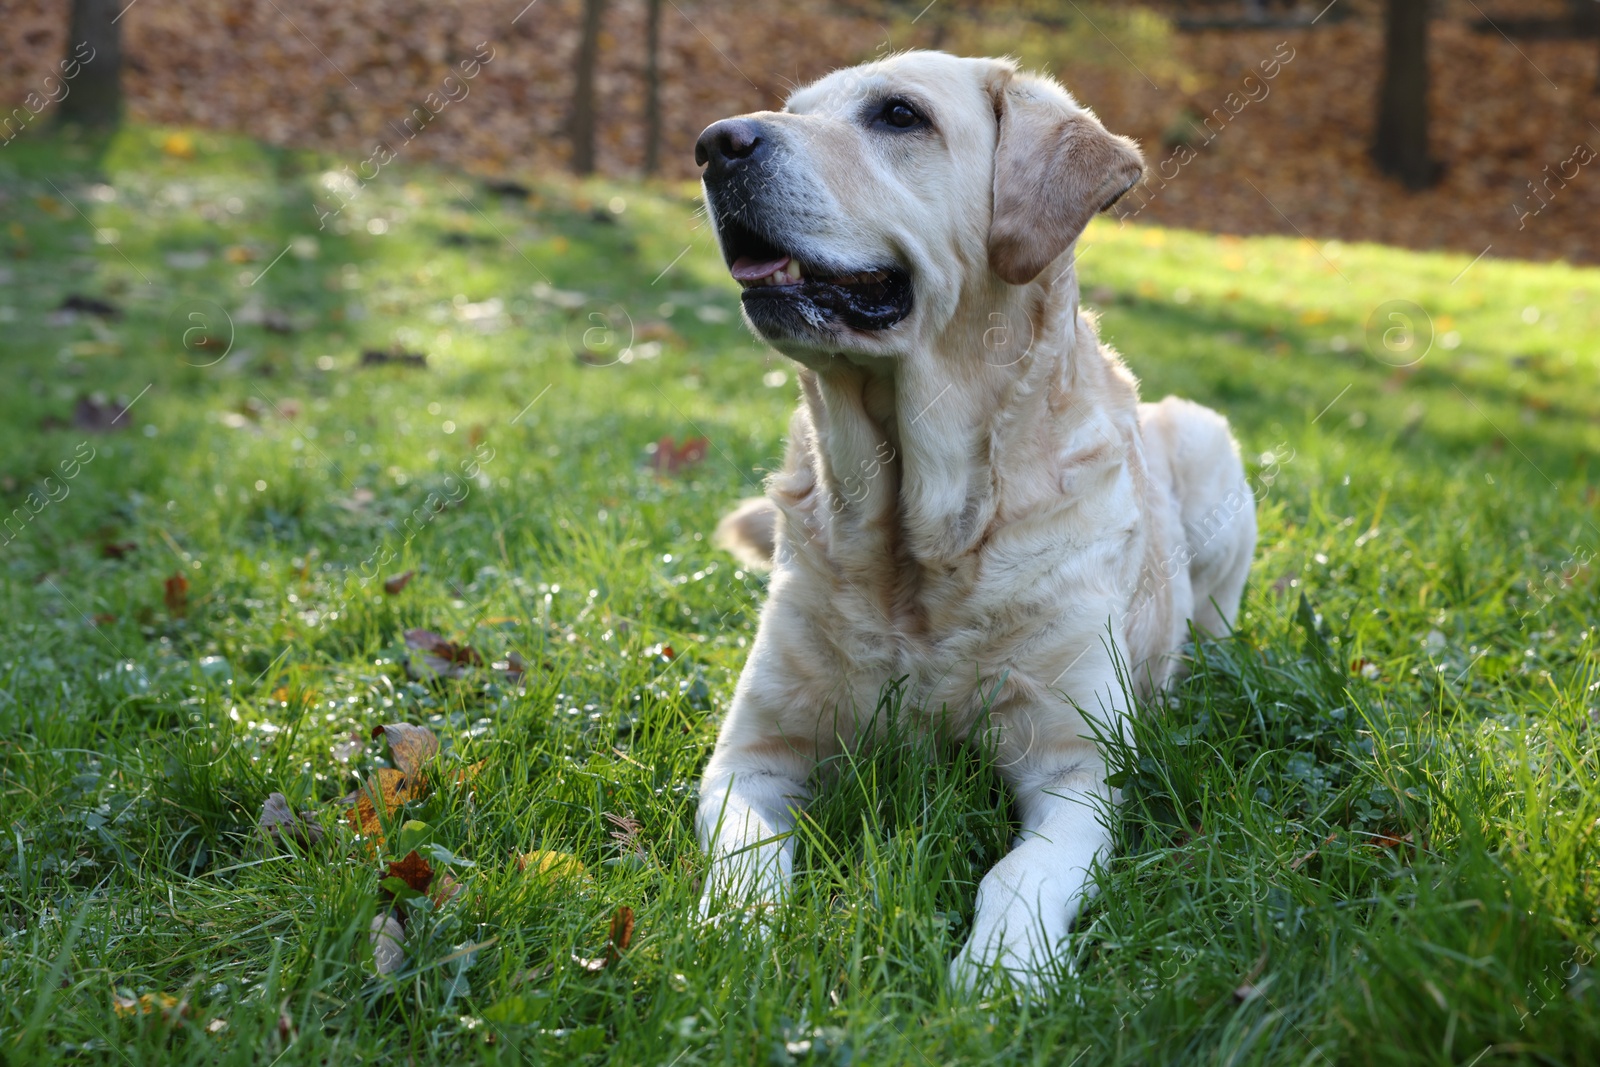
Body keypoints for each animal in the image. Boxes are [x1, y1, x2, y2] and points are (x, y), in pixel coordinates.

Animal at [694, 51, 1254, 991]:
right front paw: (732, 934)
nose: (714, 142)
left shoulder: (1077, 765)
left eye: (898, 115)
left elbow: (1018, 871)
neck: (917, 533)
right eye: (793, 108)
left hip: (1211, 443)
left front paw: (999, 969)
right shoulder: (753, 752)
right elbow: (749, 851)